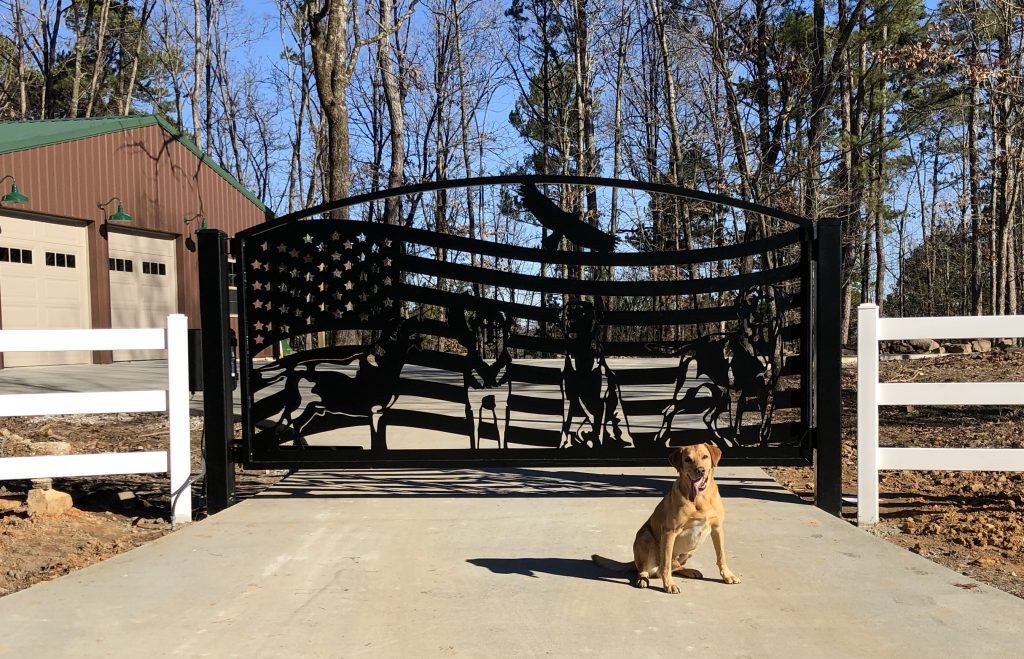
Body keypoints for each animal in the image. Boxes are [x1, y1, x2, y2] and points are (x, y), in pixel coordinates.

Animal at [593, 442, 745, 593]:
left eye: (705, 456)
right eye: (688, 459)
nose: (700, 470)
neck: (699, 498)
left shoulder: (717, 528)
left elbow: (721, 556)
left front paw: (728, 575)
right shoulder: (669, 531)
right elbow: (665, 564)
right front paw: (669, 585)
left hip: (691, 549)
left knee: (675, 567)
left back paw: (690, 571)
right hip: (645, 537)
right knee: (648, 569)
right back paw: (643, 579)